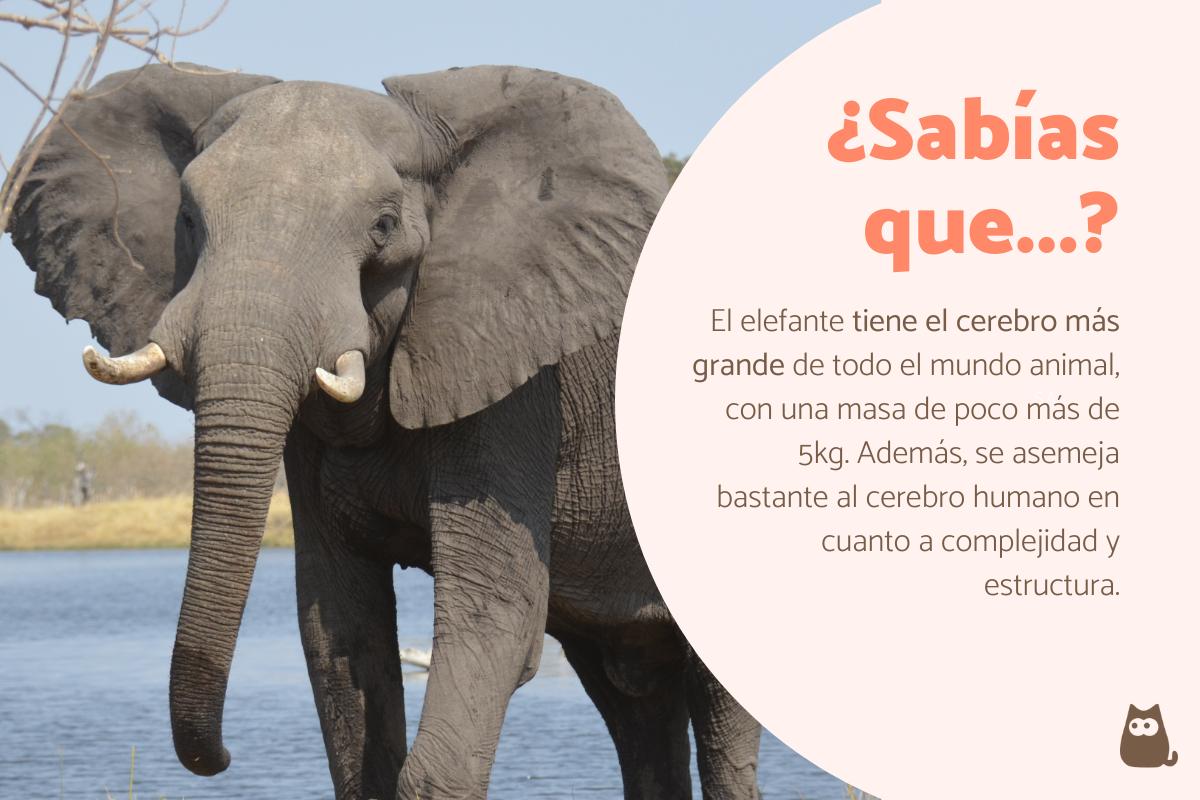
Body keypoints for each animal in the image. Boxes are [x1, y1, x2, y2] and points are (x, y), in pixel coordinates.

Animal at [7, 63, 762, 799]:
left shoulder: (512, 375)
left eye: (383, 224)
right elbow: (338, 625)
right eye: (189, 219)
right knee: (633, 699)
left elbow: (496, 614)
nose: (222, 757)